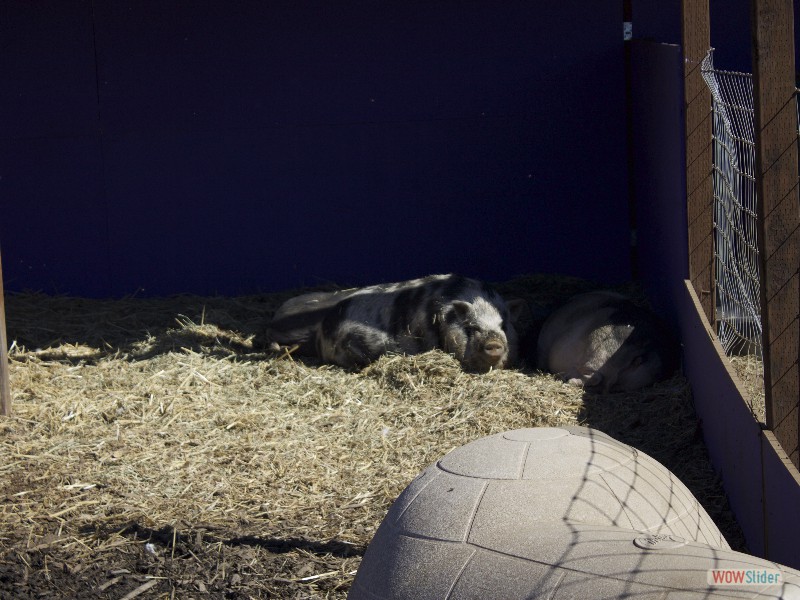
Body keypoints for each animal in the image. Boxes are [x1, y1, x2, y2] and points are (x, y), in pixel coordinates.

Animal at [536, 291, 679, 393]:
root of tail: (644, 351)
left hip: (598, 349)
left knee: (596, 376)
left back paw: (564, 378)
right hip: (629, 382)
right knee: (605, 385)